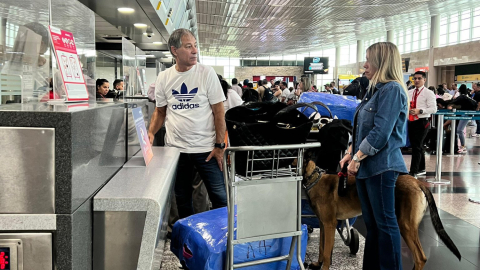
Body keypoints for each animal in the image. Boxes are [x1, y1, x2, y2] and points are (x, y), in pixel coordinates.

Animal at [304, 160, 462, 270]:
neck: (314, 180)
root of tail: (417, 182)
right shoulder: (323, 224)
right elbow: (321, 247)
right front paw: (317, 264)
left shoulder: (330, 225)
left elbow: (326, 252)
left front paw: (324, 266)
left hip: (405, 226)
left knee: (420, 258)